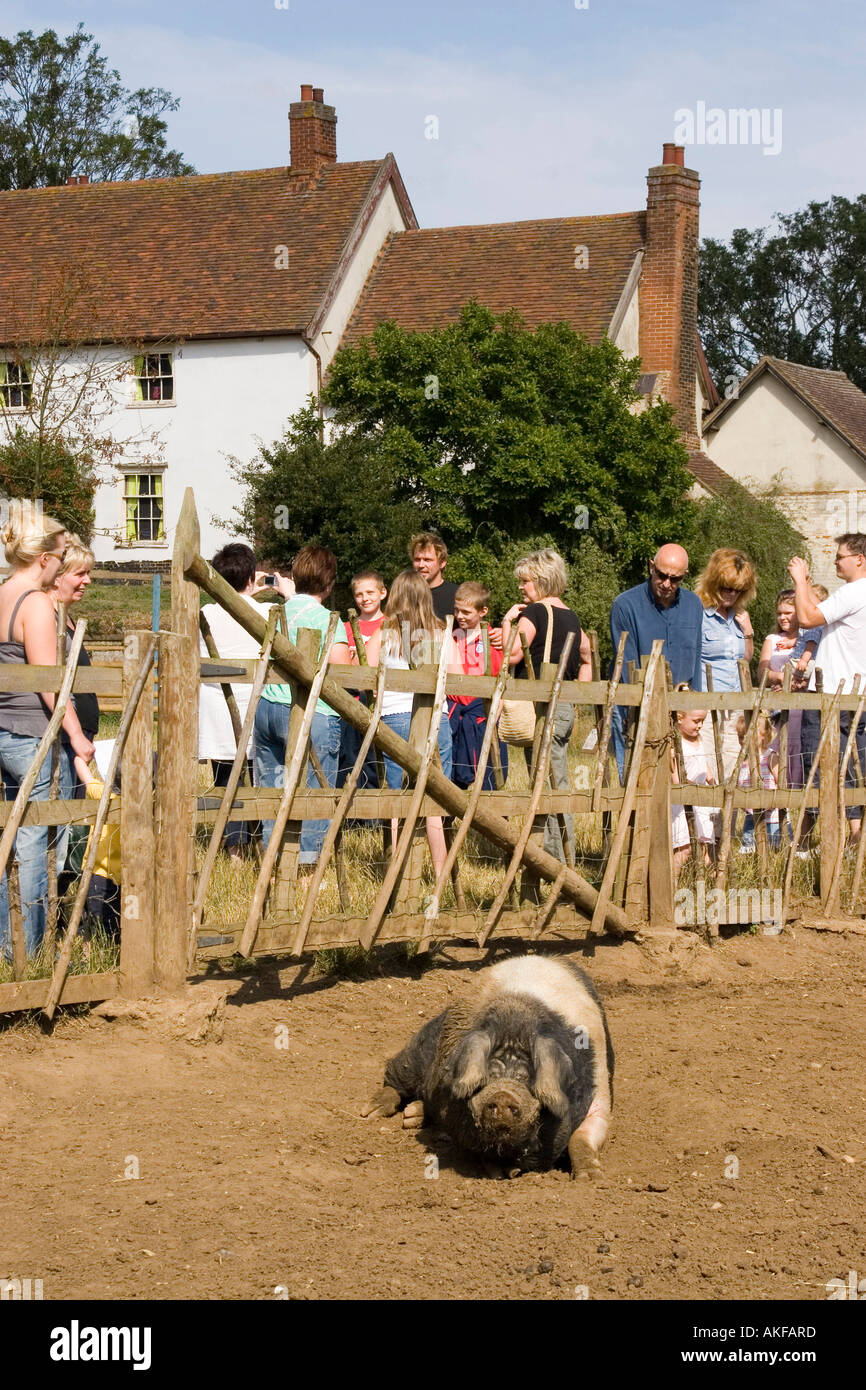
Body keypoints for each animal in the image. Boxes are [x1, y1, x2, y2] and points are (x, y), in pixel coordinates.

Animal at [361, 956, 614, 1173]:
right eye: (488, 1075)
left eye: (526, 1078)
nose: (503, 1095)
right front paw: (501, 1172)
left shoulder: (600, 1088)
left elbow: (582, 1136)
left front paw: (591, 1177)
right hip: (425, 1044)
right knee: (400, 1074)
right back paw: (371, 1112)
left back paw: (410, 1115)